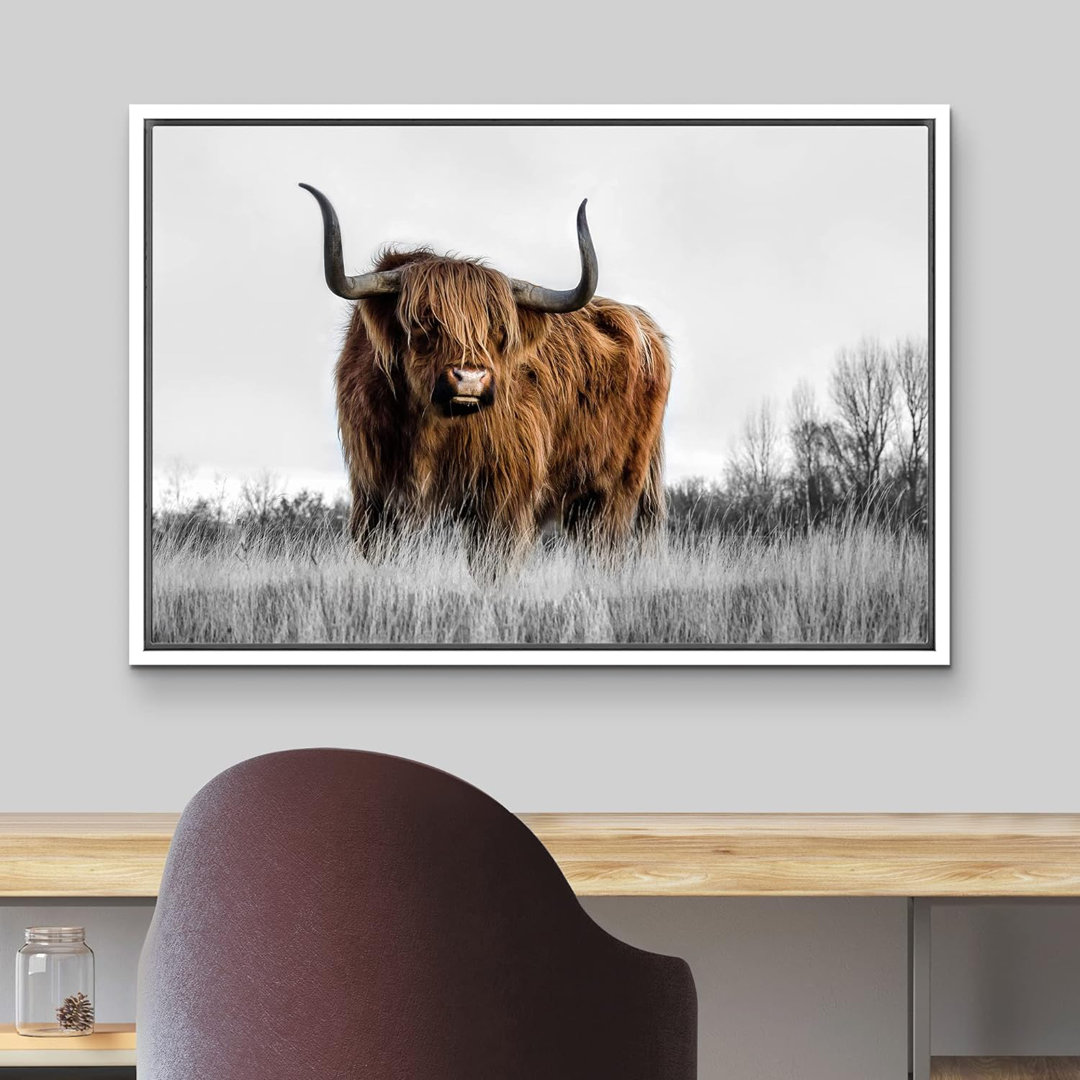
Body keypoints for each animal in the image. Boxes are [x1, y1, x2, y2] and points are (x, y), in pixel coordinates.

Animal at [300, 184, 672, 569]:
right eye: (424, 321)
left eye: (497, 329)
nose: (469, 377)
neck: (429, 429)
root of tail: (643, 324)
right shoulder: (375, 495)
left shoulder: (503, 496)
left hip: (614, 490)